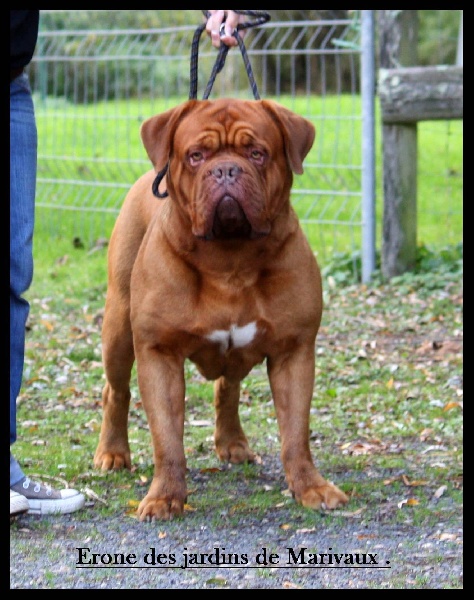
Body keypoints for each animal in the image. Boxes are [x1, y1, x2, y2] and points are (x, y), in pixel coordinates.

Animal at [94, 98, 350, 520]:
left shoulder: (293, 351)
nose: (226, 170)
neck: (230, 260)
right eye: (196, 155)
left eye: (257, 153)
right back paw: (112, 453)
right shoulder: (158, 352)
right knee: (115, 391)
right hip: (118, 326)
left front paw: (310, 487)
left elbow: (296, 433)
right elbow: (168, 440)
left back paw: (232, 442)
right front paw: (164, 497)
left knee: (227, 387)